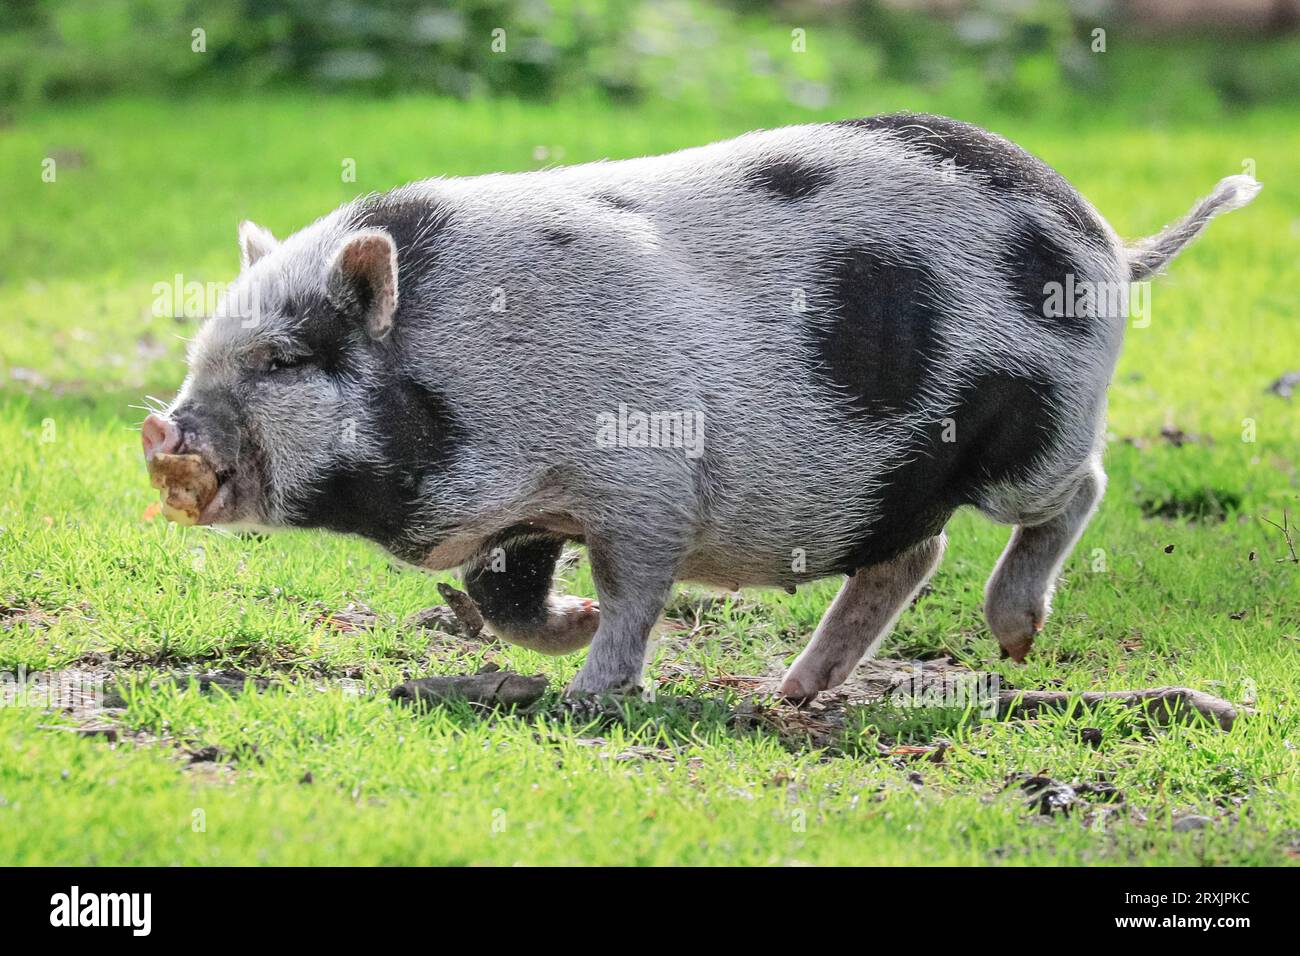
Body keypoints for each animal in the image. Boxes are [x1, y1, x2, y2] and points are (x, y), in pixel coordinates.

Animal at [142, 113, 1258, 697]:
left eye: (284, 358)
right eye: (201, 355)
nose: (162, 428)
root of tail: (1109, 243)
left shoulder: (643, 481)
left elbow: (638, 585)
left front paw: (593, 694)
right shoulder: (524, 510)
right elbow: (507, 603)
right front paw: (570, 630)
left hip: (1032, 428)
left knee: (1075, 492)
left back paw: (1012, 638)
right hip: (894, 477)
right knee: (911, 552)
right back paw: (792, 693)